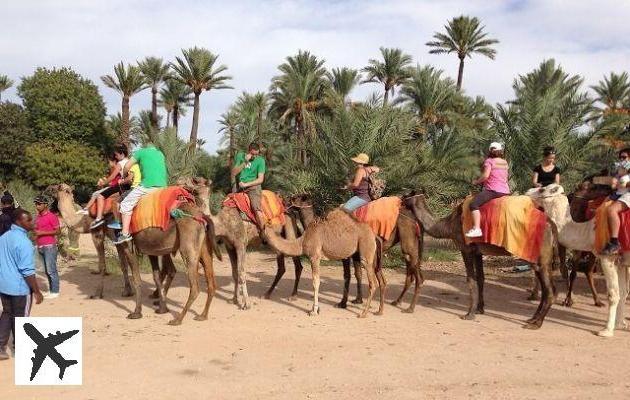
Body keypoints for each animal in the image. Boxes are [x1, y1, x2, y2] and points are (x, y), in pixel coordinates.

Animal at [404, 193, 556, 328]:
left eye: (405, 195)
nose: (400, 200)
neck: (449, 224)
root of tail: (552, 225)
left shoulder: (466, 249)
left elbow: (470, 279)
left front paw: (469, 314)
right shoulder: (478, 252)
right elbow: (481, 278)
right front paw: (479, 309)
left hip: (541, 257)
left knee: (549, 290)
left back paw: (536, 324)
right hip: (539, 258)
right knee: (546, 288)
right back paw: (532, 319)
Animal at [532, 184, 628, 338]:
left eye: (542, 189)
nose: (528, 192)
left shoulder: (607, 257)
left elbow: (613, 294)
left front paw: (607, 330)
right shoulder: (620, 261)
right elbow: (623, 292)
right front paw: (620, 324)